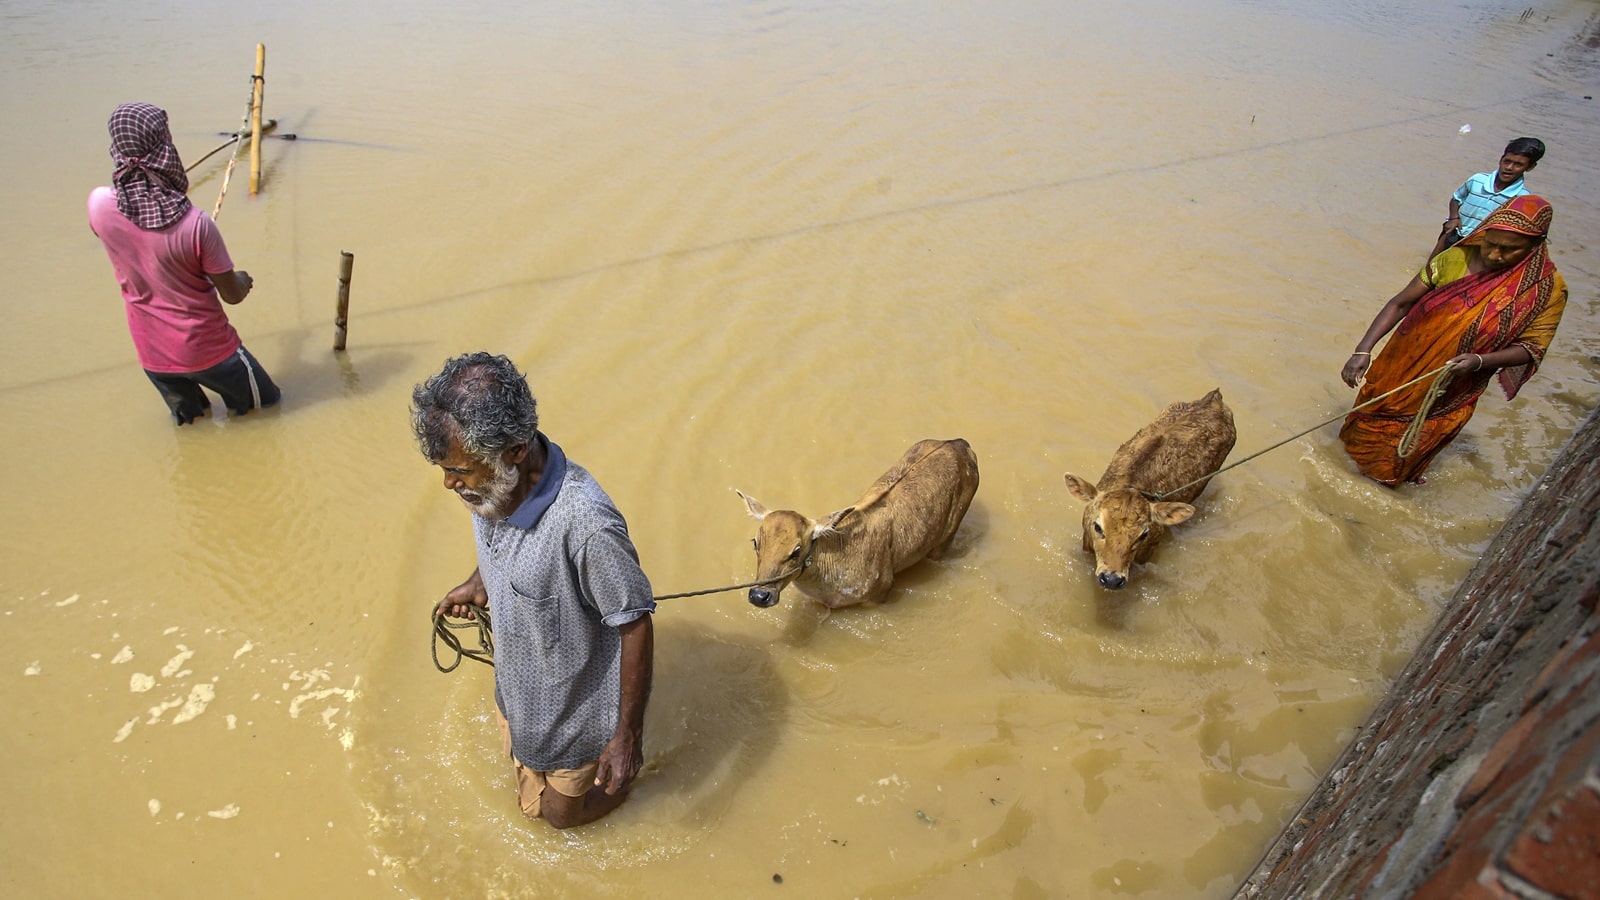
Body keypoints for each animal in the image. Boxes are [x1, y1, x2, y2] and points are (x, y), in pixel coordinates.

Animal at [732, 435, 972, 605]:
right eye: (755, 542)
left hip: (949, 532)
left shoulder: (882, 591)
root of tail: (960, 443)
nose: (759, 596)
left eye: (796, 550)